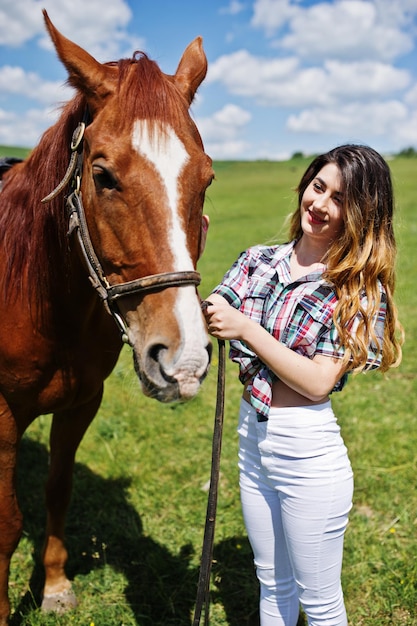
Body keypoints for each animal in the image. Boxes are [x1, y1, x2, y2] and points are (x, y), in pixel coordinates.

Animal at [0, 11, 213, 624]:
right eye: (103, 176)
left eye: (207, 178)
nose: (182, 359)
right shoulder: (1, 416)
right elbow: (6, 523)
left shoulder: (82, 402)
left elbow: (58, 490)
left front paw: (54, 586)